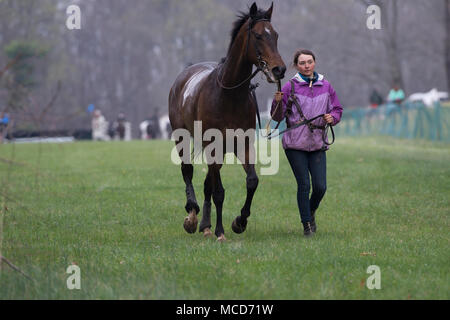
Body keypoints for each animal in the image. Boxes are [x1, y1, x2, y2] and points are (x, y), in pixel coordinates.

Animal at [167, 2, 286, 241]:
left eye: (275, 35)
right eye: (258, 35)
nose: (279, 69)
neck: (229, 94)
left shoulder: (243, 144)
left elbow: (252, 181)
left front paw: (239, 221)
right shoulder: (213, 146)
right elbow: (219, 191)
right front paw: (220, 231)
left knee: (207, 183)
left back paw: (205, 225)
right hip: (181, 136)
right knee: (188, 171)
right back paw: (192, 216)